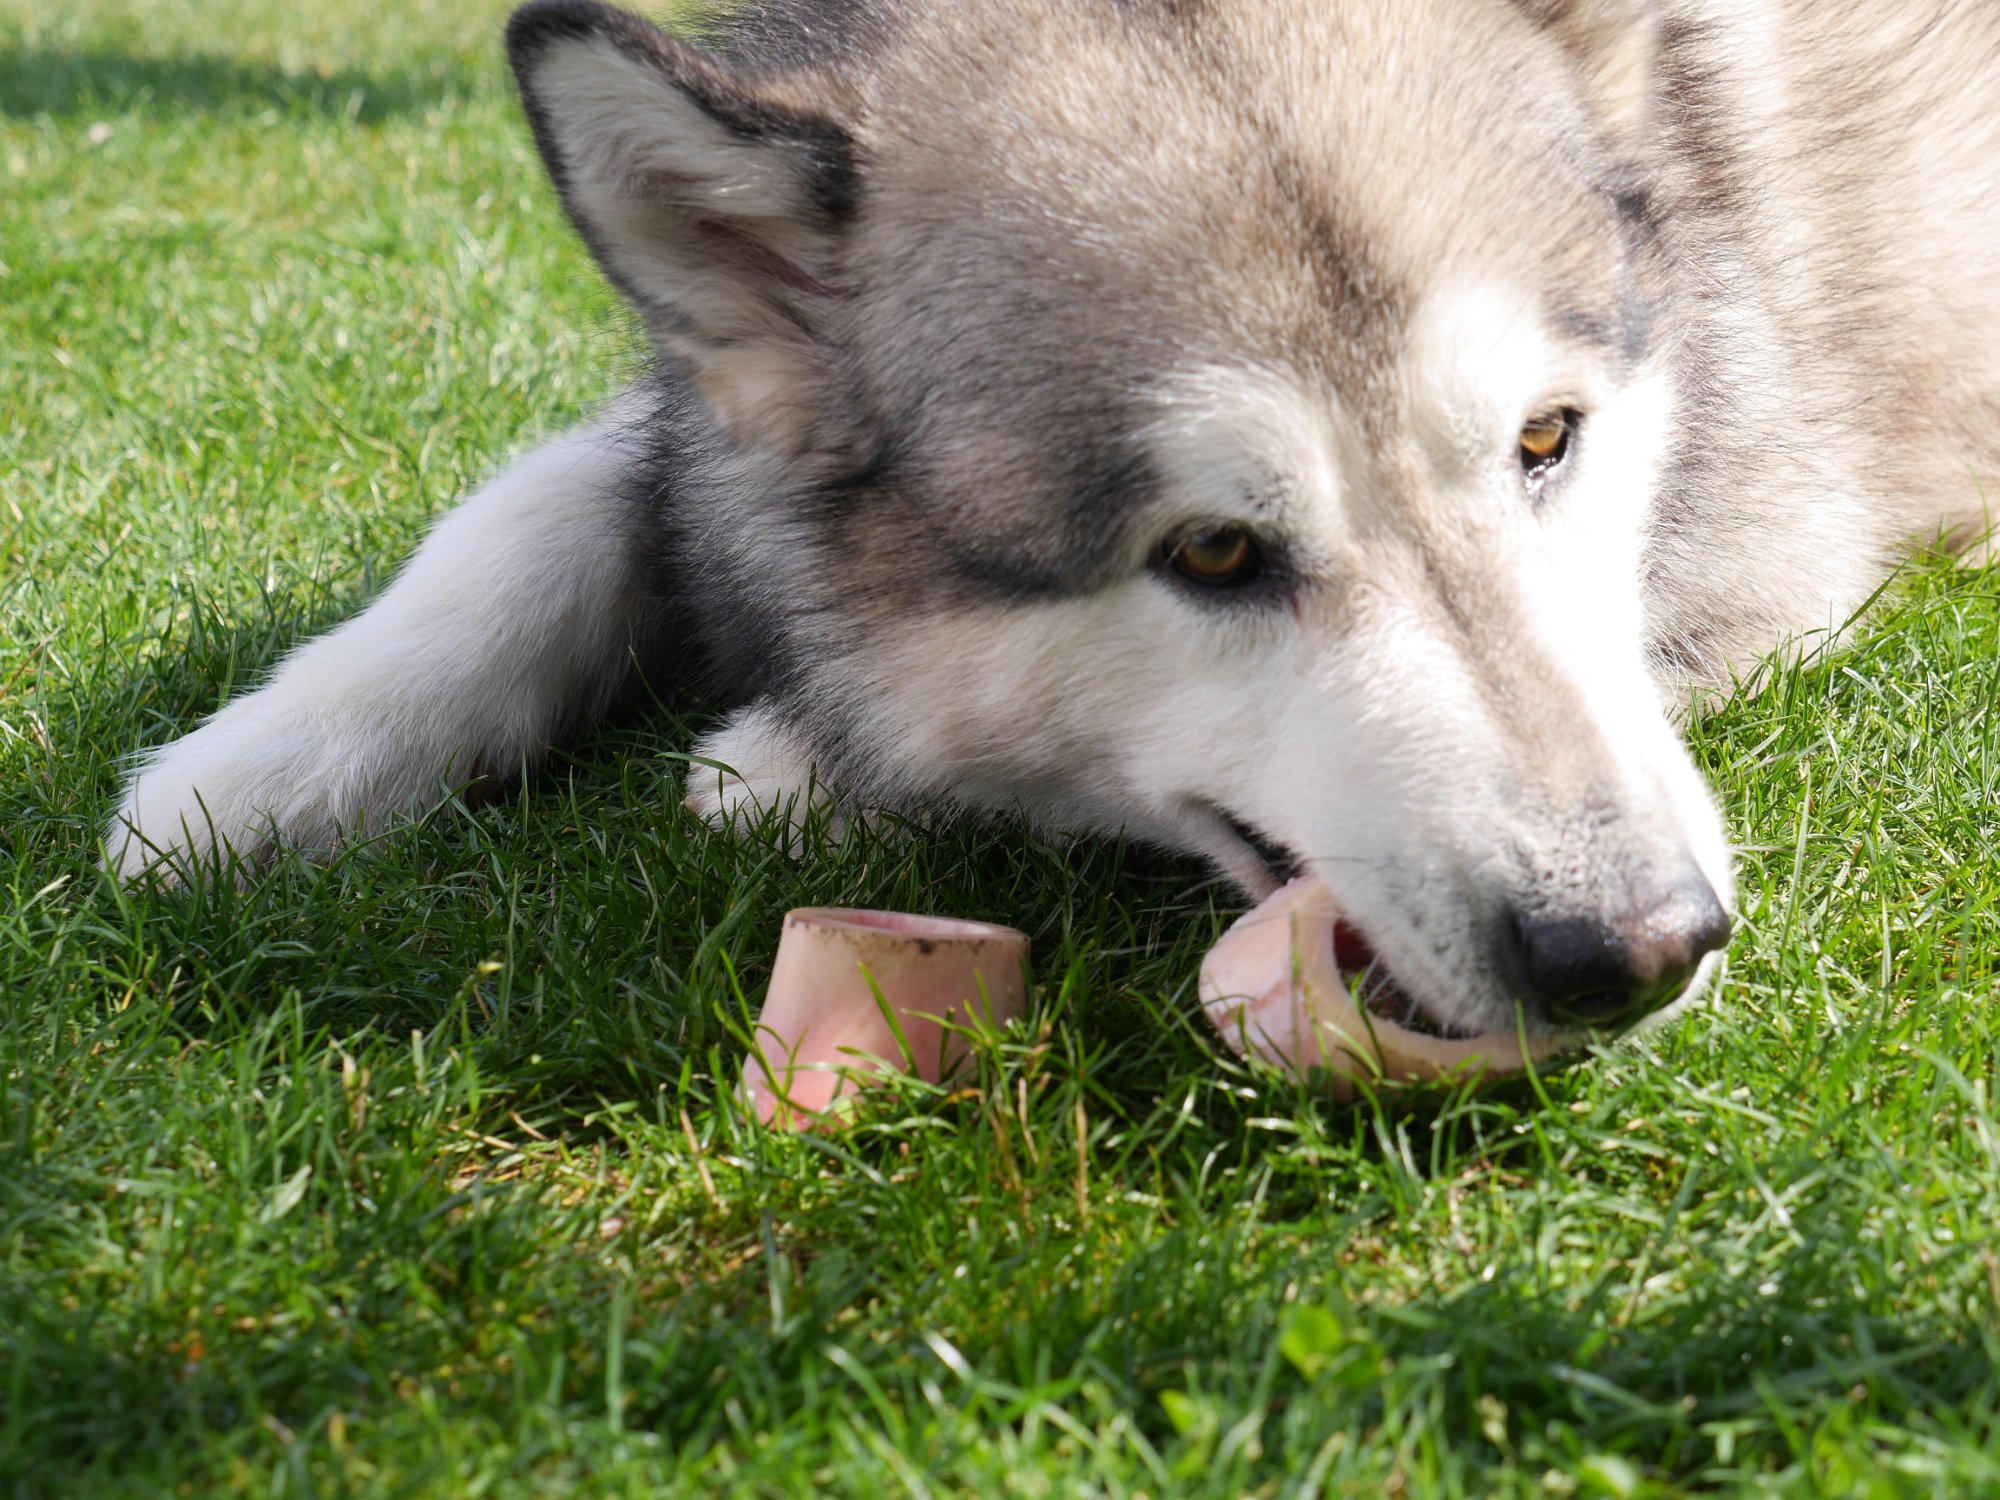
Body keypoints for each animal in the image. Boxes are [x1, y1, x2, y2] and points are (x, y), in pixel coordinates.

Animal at [106, 0, 1999, 1046]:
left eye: (1549, 440)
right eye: (1214, 552)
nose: (1641, 948)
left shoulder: (1774, 554)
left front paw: (795, 757)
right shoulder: (695, 417)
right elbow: (543, 516)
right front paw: (255, 770)